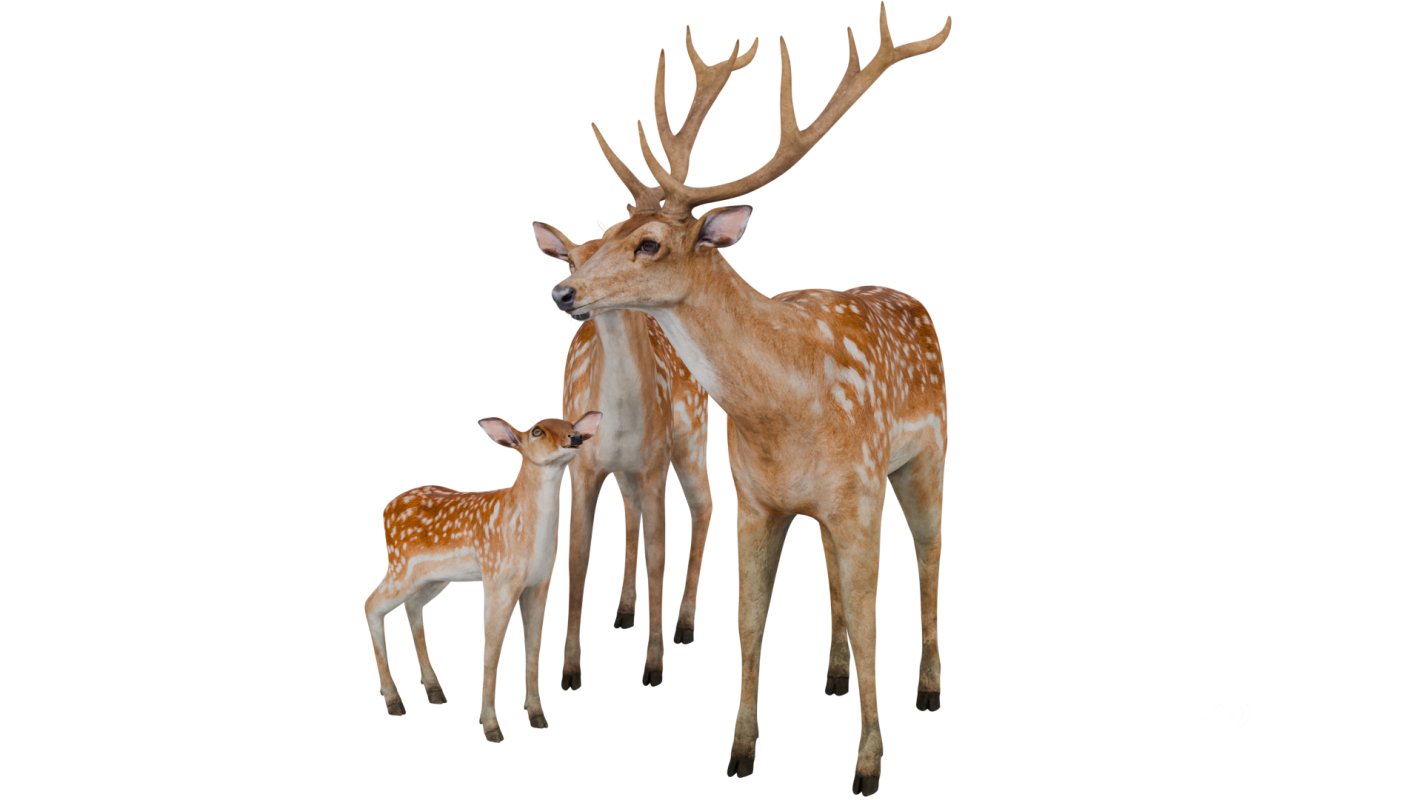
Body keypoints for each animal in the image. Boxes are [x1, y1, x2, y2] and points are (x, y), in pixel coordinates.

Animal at [362, 412, 602, 743]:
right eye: (537, 431)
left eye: (570, 425)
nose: (575, 438)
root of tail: (385, 510)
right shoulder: (498, 577)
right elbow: (491, 651)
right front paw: (491, 725)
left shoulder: (540, 582)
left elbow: (534, 648)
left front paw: (537, 714)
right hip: (400, 565)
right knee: (371, 604)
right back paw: (393, 699)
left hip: (432, 577)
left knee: (411, 606)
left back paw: (433, 689)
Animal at [528, 33, 753, 692]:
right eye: (571, 255)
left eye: (645, 243)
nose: (564, 293)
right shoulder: (585, 466)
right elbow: (578, 562)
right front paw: (570, 668)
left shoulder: (654, 464)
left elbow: (659, 554)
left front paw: (654, 665)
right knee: (628, 520)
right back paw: (623, 611)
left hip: (693, 435)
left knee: (704, 506)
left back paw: (684, 622)